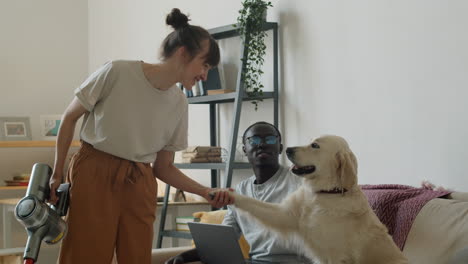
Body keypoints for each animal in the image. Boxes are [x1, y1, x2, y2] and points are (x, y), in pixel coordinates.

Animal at [229, 136, 408, 264]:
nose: (288, 149)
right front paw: (225, 193)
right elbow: (251, 202)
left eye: (315, 145)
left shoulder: (336, 256)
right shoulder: (285, 214)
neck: (324, 193)